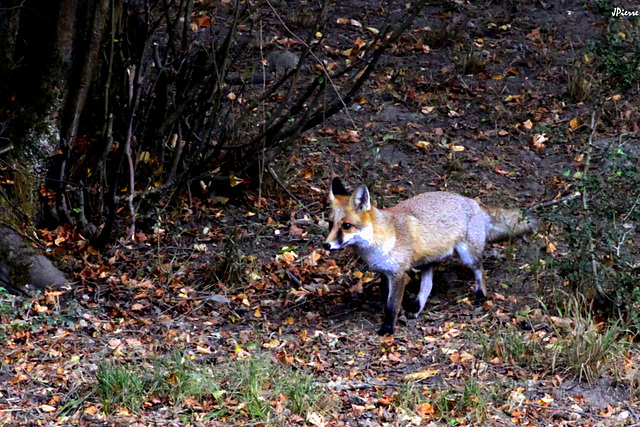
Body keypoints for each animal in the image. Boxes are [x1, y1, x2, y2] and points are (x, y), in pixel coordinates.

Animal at [322, 176, 536, 334]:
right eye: (331, 224)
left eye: (346, 226)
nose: (326, 245)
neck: (379, 239)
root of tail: (475, 203)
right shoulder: (385, 272)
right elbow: (387, 298)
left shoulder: (399, 273)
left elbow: (392, 304)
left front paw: (388, 328)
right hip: (428, 260)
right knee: (428, 284)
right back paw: (416, 308)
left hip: (467, 256)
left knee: (480, 271)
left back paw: (480, 296)